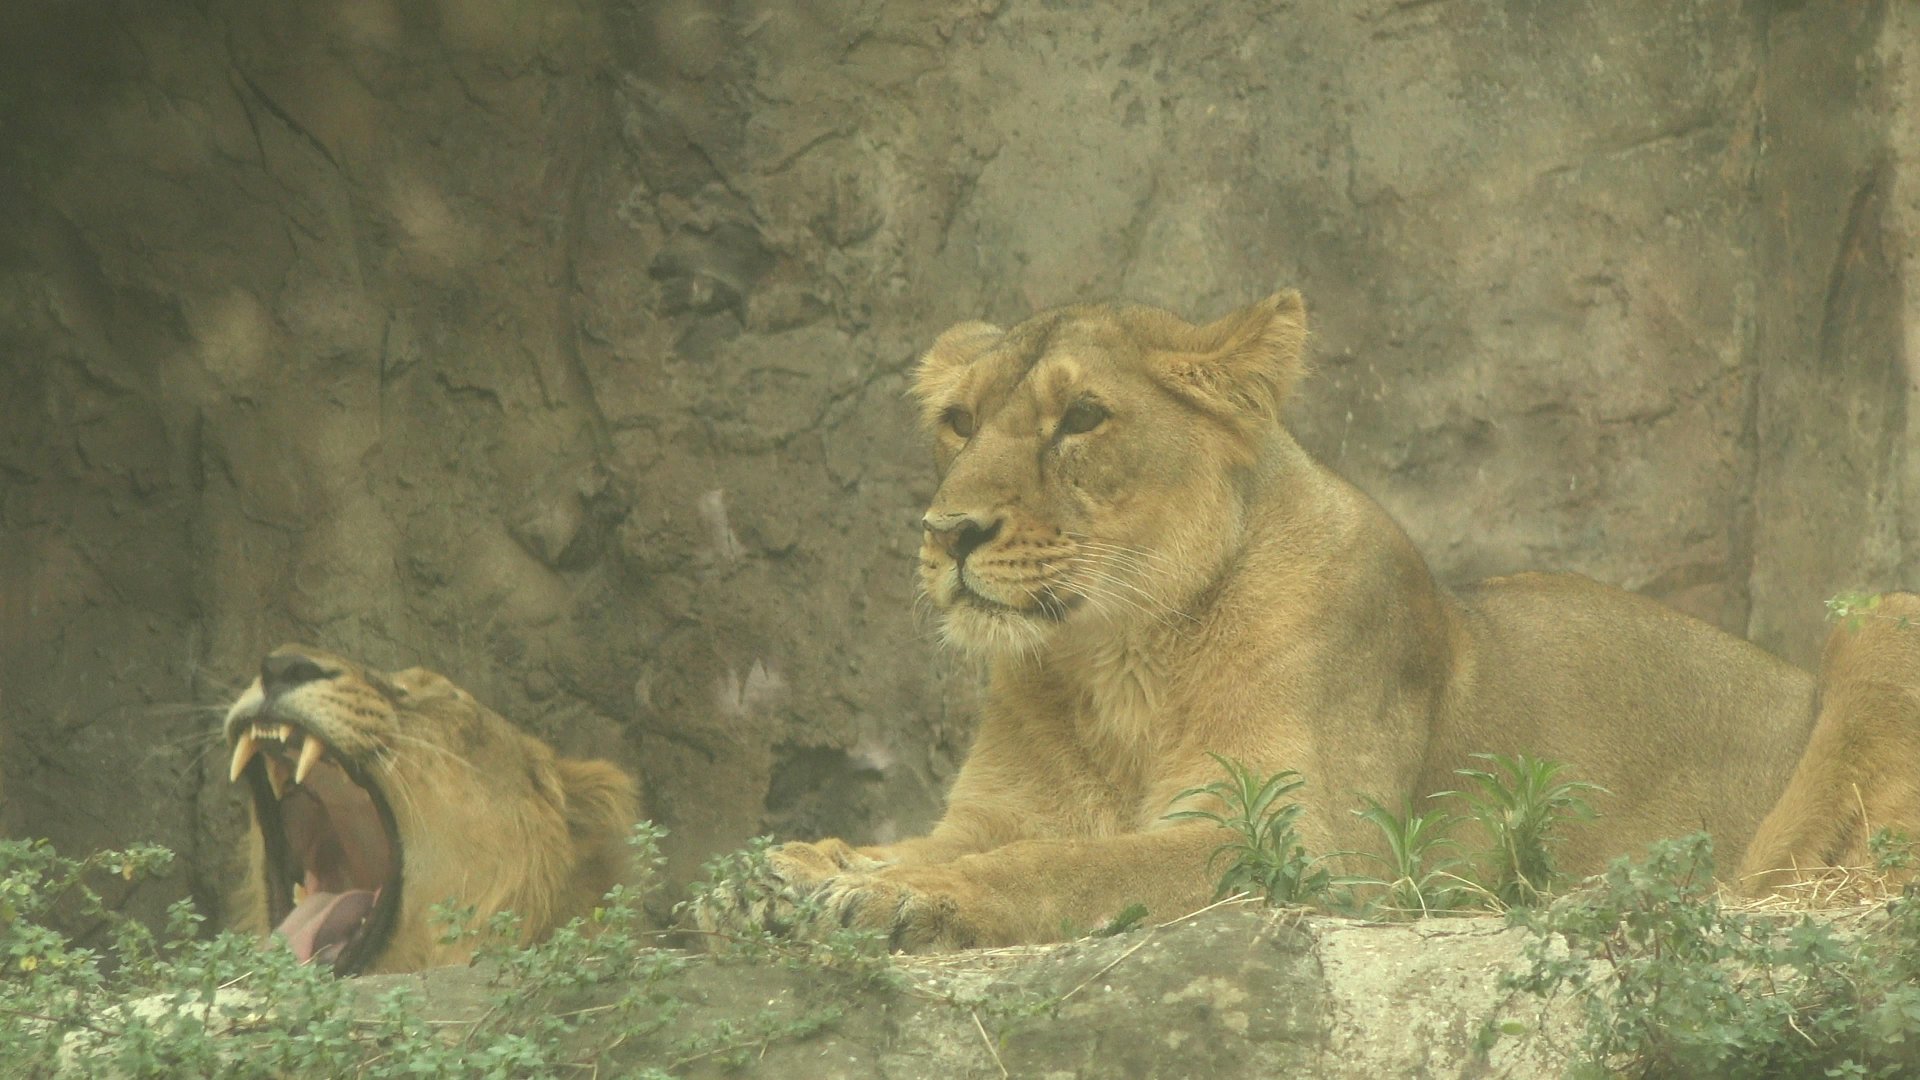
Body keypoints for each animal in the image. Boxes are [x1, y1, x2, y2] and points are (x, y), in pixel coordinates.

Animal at [694, 289, 1920, 951]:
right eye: (956, 421)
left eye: (1081, 417)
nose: (949, 532)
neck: (1109, 665)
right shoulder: (993, 810)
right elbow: (968, 839)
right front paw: (786, 871)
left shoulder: (1307, 852)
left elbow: (1065, 866)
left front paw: (890, 897)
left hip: (1879, 625)